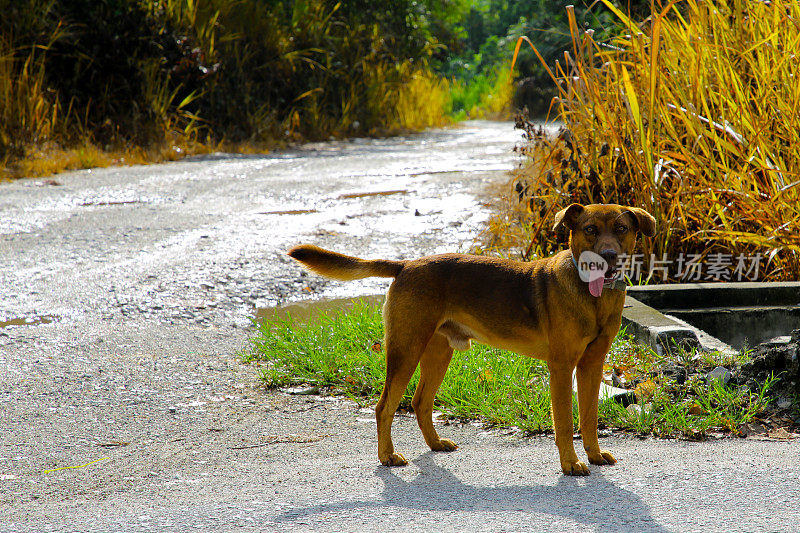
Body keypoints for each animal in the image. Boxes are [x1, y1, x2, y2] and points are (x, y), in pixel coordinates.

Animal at [288, 203, 656, 474]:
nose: (608, 255)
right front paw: (571, 463)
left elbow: (589, 417)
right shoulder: (562, 367)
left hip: (438, 353)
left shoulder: (592, 364)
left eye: (621, 229)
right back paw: (387, 456)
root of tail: (406, 265)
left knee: (419, 402)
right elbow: (565, 422)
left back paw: (435, 444)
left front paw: (593, 454)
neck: (593, 296)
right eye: (590, 230)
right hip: (406, 349)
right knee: (384, 407)